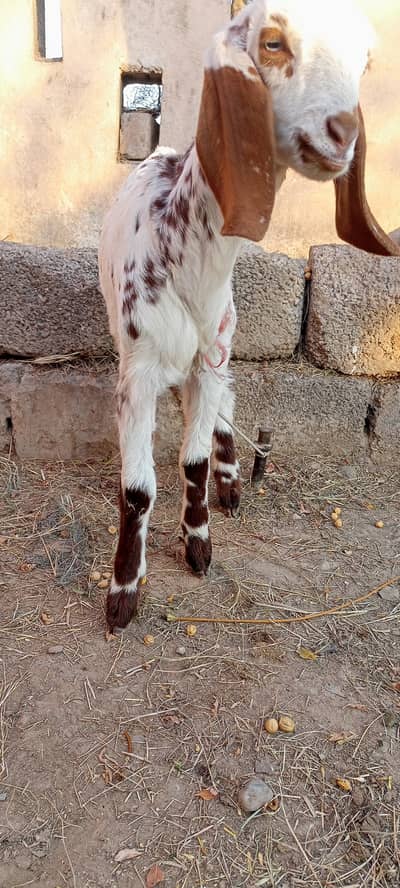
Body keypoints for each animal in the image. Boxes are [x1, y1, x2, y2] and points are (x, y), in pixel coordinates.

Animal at [99, 0, 399, 632]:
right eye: (273, 43)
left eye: (364, 60)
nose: (345, 133)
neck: (186, 262)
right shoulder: (135, 372)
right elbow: (137, 489)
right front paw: (123, 591)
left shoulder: (209, 356)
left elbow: (192, 460)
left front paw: (198, 541)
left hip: (225, 335)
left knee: (228, 402)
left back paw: (232, 479)